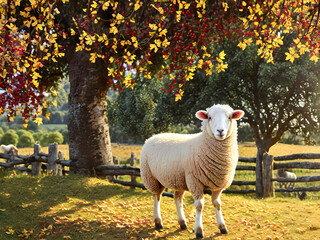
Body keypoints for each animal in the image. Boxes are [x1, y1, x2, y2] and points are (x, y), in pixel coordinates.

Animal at [141, 103, 245, 238]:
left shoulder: (218, 186)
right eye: (209, 117)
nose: (220, 131)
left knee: (177, 198)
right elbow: (199, 205)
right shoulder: (195, 182)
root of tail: (153, 136)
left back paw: (182, 223)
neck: (203, 145)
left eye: (230, 117)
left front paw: (222, 227)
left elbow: (217, 204)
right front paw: (199, 230)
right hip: (152, 178)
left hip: (178, 179)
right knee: (157, 197)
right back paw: (158, 222)